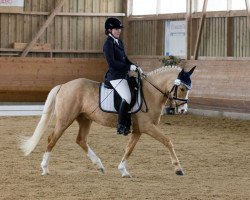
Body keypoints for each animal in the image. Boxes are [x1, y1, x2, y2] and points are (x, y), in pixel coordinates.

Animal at [20, 65, 195, 177]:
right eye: (182, 88)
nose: (183, 111)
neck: (150, 92)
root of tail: (64, 86)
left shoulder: (139, 130)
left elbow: (129, 148)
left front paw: (123, 170)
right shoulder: (148, 127)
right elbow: (168, 141)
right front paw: (178, 169)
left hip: (85, 119)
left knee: (81, 140)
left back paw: (99, 166)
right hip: (65, 119)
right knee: (52, 139)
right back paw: (45, 169)